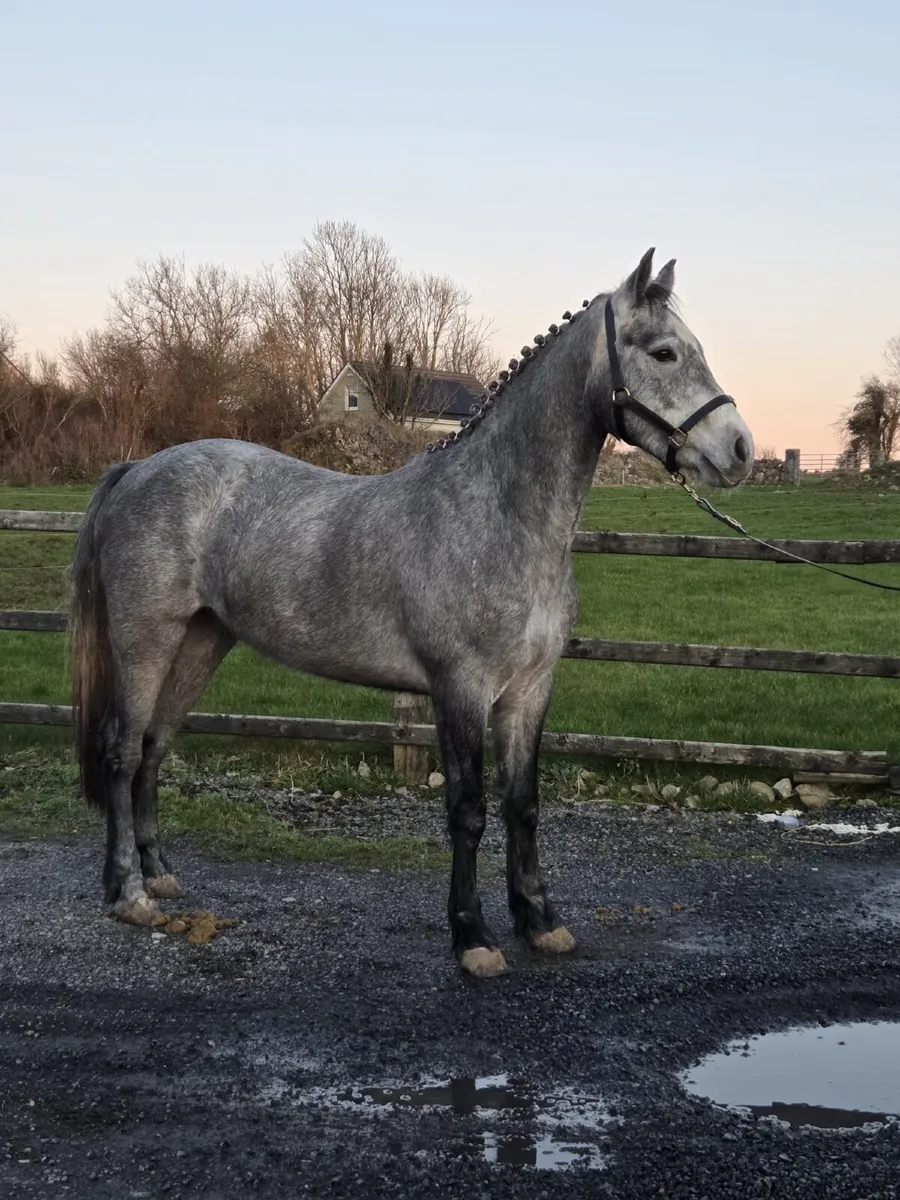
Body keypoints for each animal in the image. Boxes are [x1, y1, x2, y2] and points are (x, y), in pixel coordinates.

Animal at [68, 248, 753, 977]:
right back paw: (130, 895)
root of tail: (139, 469)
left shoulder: (530, 690)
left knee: (154, 746)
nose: (740, 449)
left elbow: (523, 805)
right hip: (145, 642)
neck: (500, 515)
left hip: (201, 643)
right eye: (663, 352)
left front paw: (540, 922)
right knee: (120, 751)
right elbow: (468, 812)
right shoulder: (461, 689)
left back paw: (159, 874)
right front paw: (473, 937)